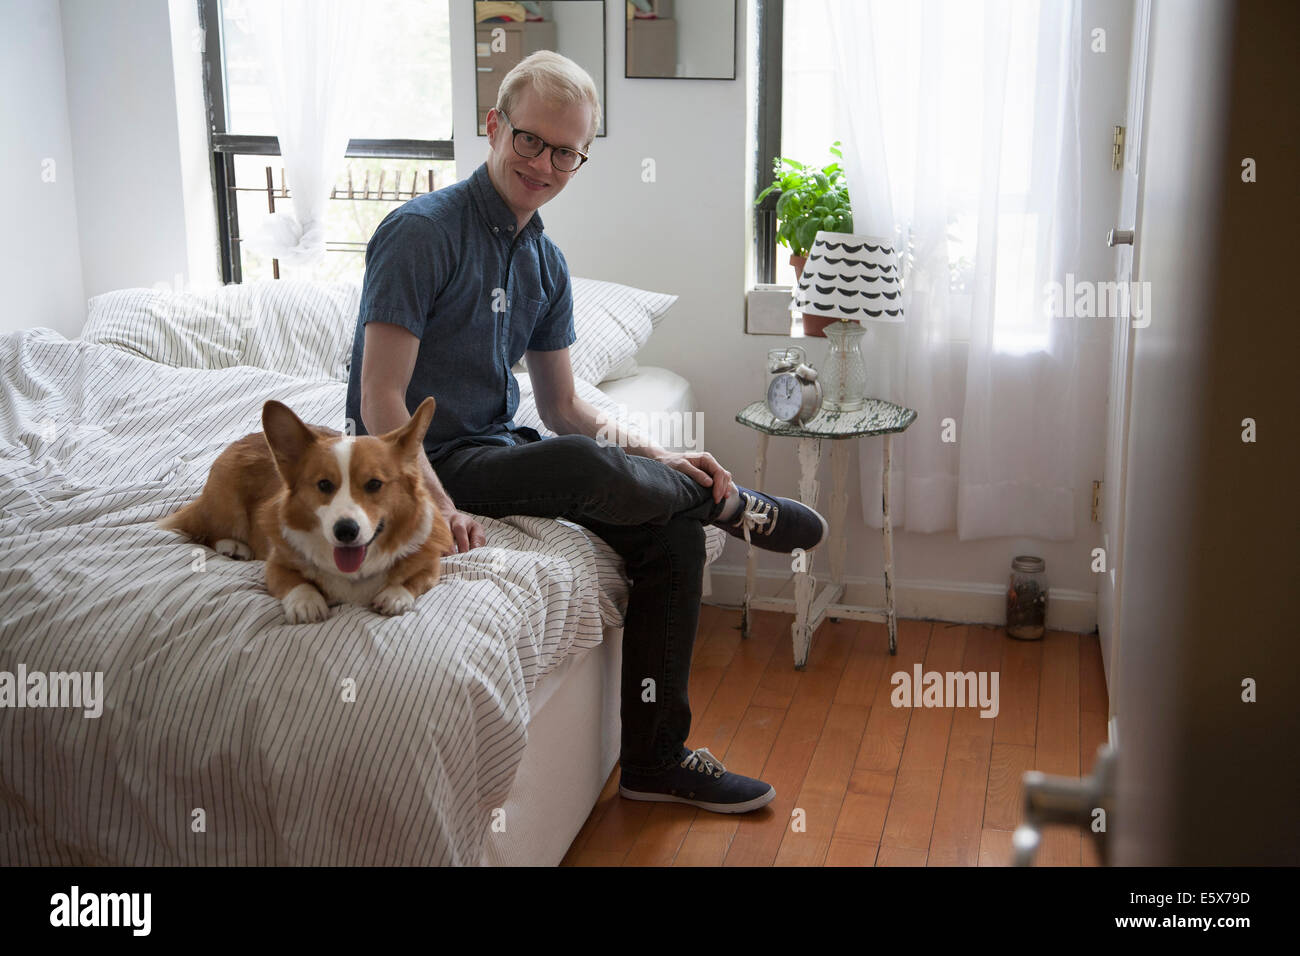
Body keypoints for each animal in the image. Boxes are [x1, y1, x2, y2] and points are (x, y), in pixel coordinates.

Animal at [154, 395, 452, 624]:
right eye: (324, 484)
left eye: (374, 484)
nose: (345, 531)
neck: (354, 574)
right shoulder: (275, 565)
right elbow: (294, 582)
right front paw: (307, 603)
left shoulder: (431, 565)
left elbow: (414, 578)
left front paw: (395, 595)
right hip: (227, 506)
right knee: (204, 529)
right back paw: (233, 547)